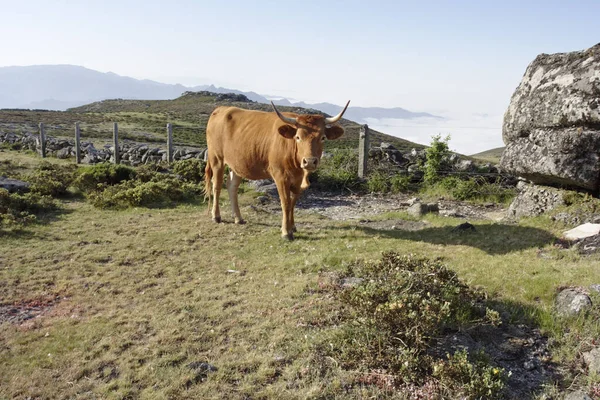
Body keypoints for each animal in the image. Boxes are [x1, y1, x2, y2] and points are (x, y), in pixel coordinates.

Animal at [204, 101, 350, 239]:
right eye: (298, 137)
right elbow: (285, 203)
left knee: (232, 186)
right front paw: (286, 232)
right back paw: (216, 216)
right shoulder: (280, 176)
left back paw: (238, 218)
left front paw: (293, 227)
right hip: (216, 158)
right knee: (217, 185)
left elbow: (293, 203)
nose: (309, 161)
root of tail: (222, 109)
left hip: (237, 164)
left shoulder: (297, 180)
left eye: (323, 137)